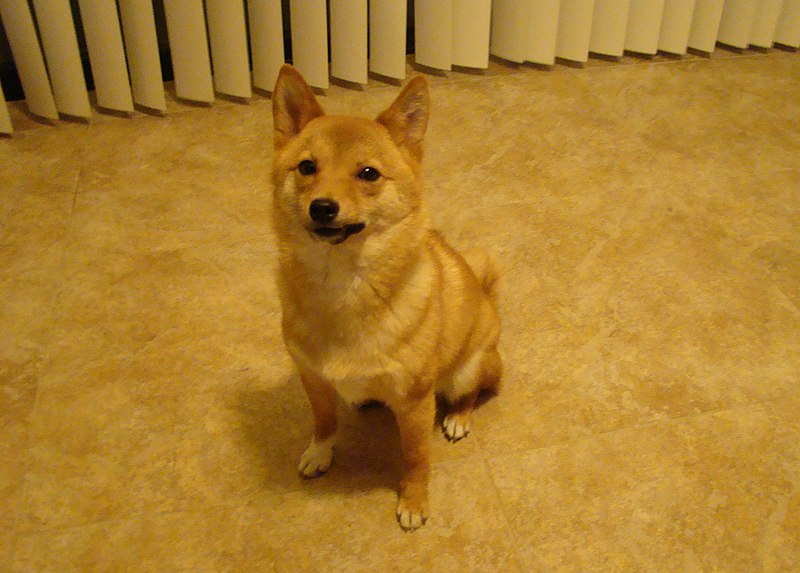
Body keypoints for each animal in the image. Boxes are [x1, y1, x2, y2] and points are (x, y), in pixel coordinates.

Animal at [272, 65, 504, 528]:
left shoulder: (414, 403)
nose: (322, 207)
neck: (342, 285)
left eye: (368, 174)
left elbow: (416, 458)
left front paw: (414, 501)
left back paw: (458, 417)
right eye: (307, 167)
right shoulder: (313, 378)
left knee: (470, 393)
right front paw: (320, 452)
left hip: (469, 368)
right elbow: (324, 421)